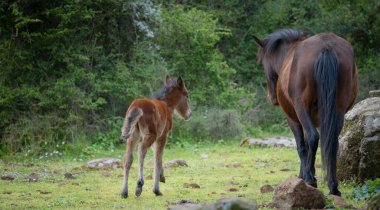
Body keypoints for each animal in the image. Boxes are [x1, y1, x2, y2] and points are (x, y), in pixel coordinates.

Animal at [254, 28, 358, 195]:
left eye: (263, 65)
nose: (272, 98)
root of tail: (326, 46)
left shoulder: (293, 119)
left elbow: (302, 146)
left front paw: (304, 176)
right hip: (338, 111)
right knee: (332, 143)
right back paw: (333, 186)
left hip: (301, 109)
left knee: (313, 137)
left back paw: (311, 179)